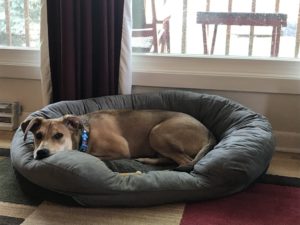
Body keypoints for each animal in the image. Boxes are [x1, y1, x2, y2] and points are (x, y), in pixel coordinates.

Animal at [21, 110, 216, 170]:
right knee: (171, 159)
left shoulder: (121, 149)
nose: (41, 152)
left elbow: (92, 155)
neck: (86, 135)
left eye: (59, 135)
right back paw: (146, 159)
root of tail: (209, 132)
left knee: (185, 161)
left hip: (157, 132)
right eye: (38, 136)